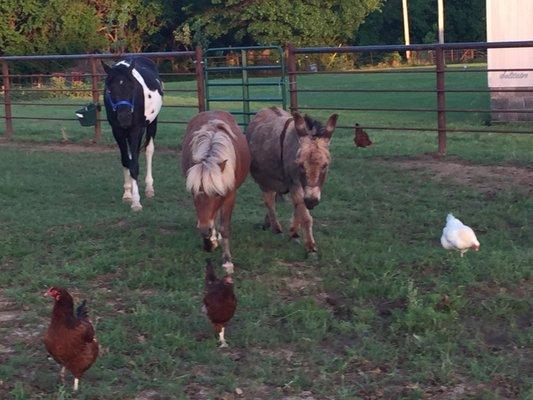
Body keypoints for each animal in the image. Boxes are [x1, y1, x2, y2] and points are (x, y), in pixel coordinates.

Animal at [102, 57, 163, 212]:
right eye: (109, 90)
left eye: (133, 87)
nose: (124, 117)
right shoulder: (117, 130)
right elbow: (126, 161)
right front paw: (127, 194)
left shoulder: (135, 130)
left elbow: (134, 165)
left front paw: (136, 202)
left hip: (152, 124)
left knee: (149, 150)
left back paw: (149, 188)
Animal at [182, 110, 250, 272]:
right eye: (194, 193)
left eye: (217, 194)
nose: (205, 230)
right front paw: (209, 242)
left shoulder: (229, 195)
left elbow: (224, 226)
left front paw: (227, 260)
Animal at [246, 107, 336, 253]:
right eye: (300, 165)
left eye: (325, 165)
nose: (311, 201)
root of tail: (268, 108)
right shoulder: (295, 184)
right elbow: (305, 215)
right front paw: (310, 246)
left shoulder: (299, 187)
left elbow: (298, 208)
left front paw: (294, 232)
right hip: (264, 180)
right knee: (269, 201)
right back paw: (276, 229)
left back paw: (269, 223)